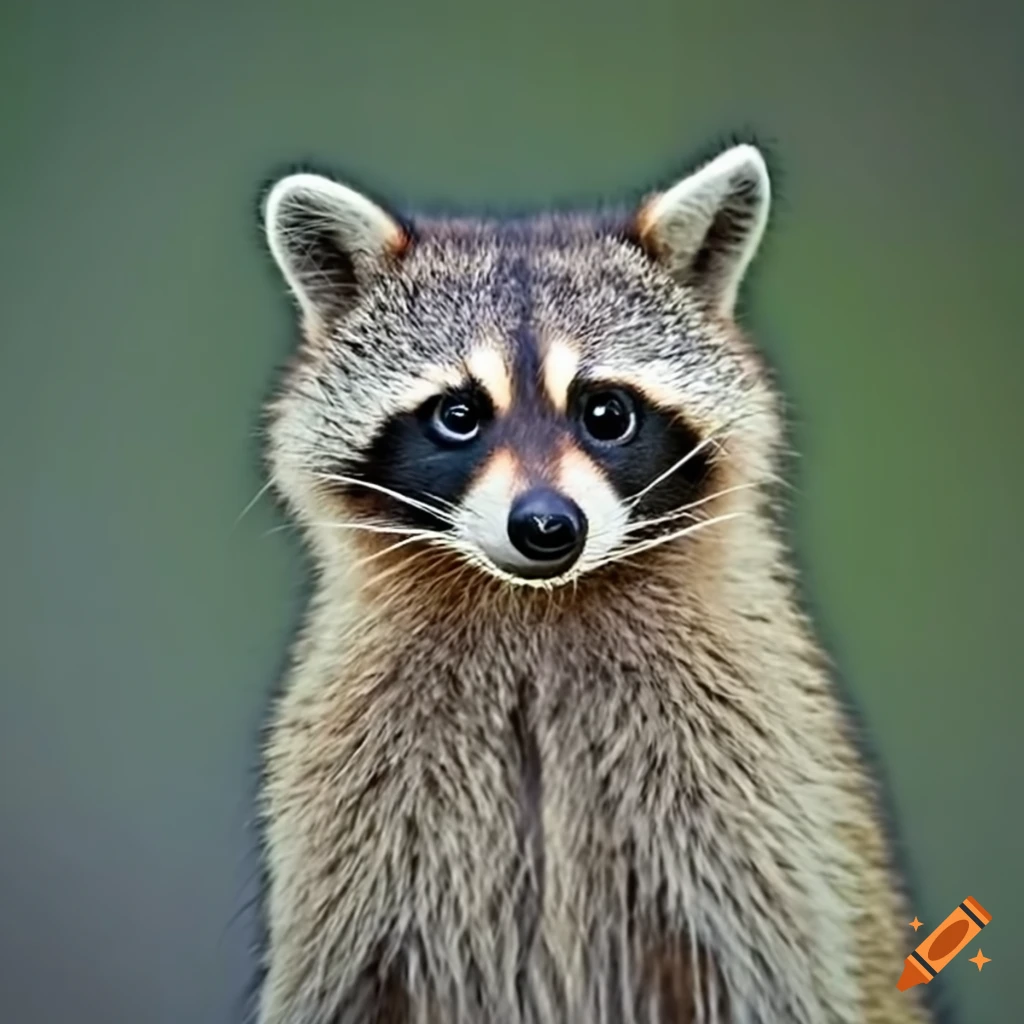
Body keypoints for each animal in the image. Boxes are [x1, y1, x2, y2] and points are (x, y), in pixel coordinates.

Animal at [254, 143, 936, 1024]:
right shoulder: (354, 823)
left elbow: (774, 971)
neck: (534, 604)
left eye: (606, 412)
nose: (547, 527)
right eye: (458, 416)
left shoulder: (754, 801)